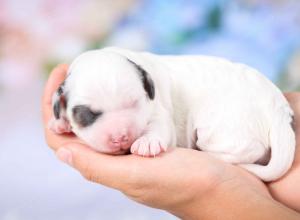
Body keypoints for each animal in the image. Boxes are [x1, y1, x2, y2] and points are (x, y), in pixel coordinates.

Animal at [49, 46, 296, 180]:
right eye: (89, 114)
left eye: (134, 103)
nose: (121, 137)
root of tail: (279, 111)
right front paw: (60, 124)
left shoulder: (158, 111)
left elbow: (159, 127)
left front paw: (146, 143)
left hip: (222, 128)